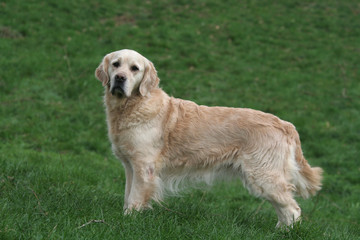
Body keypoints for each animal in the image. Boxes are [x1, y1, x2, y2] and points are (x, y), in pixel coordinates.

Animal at [94, 48, 322, 227]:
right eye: (116, 64)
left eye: (135, 68)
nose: (120, 78)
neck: (130, 107)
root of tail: (285, 124)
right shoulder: (130, 166)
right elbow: (128, 196)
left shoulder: (144, 167)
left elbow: (134, 200)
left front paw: (128, 221)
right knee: (285, 210)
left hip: (264, 177)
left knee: (292, 209)